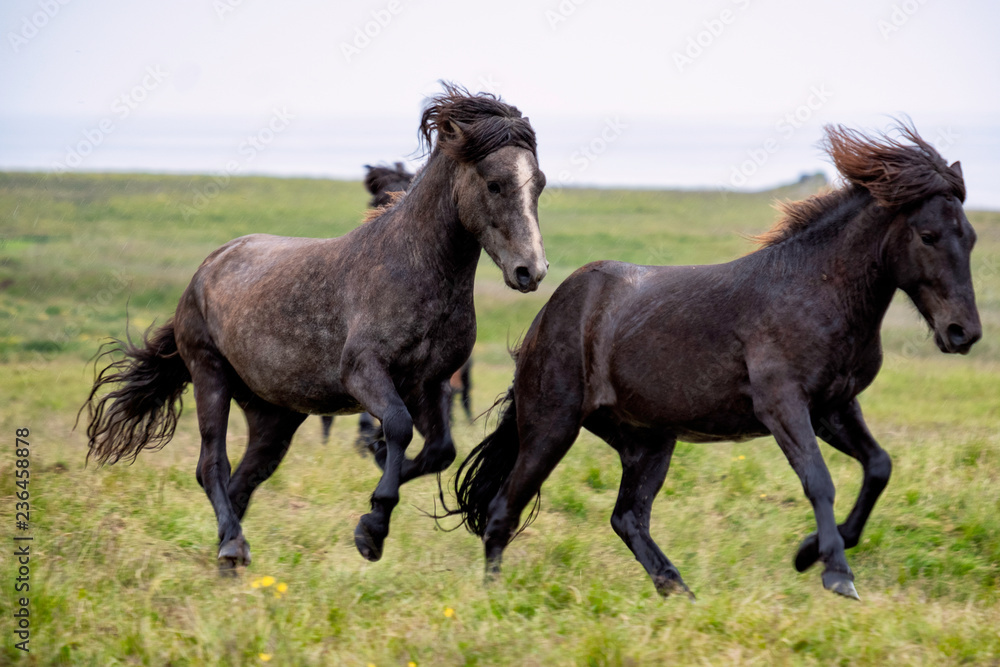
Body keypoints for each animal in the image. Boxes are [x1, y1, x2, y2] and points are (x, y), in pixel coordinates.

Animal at [82, 84, 548, 569]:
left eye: (539, 183)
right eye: (494, 183)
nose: (530, 271)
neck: (412, 267)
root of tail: (208, 266)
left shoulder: (431, 383)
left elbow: (440, 450)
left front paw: (376, 471)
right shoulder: (364, 373)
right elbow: (398, 426)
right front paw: (373, 528)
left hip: (275, 415)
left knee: (245, 478)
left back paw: (231, 553)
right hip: (210, 376)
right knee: (213, 466)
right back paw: (232, 545)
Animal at [451, 123, 979, 601]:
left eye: (971, 237)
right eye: (928, 235)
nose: (964, 332)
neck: (816, 291)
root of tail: (544, 319)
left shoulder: (834, 407)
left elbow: (878, 467)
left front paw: (807, 553)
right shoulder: (784, 406)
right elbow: (819, 481)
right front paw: (835, 573)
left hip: (648, 442)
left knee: (628, 518)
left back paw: (679, 592)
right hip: (552, 427)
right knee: (503, 510)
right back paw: (495, 600)